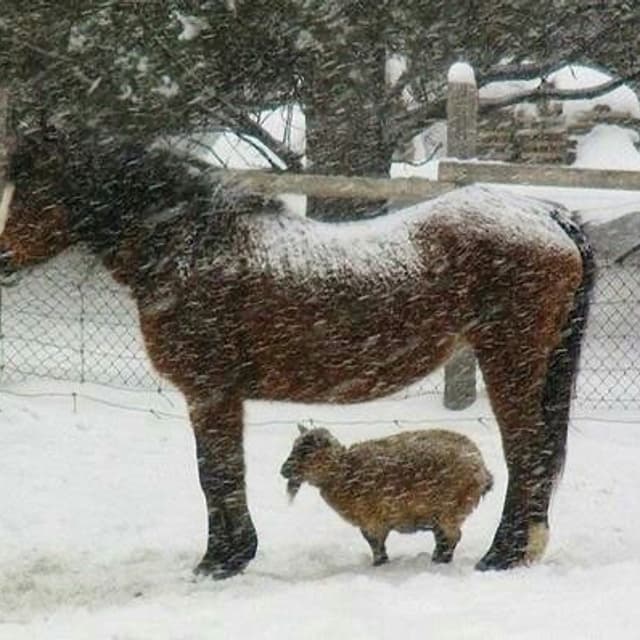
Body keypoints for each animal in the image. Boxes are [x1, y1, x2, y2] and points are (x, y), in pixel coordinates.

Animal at [0, 126, 595, 579]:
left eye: (37, 189)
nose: (2, 260)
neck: (194, 249)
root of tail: (545, 214)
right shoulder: (217, 396)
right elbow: (220, 472)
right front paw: (228, 556)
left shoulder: (211, 392)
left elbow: (216, 474)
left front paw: (222, 562)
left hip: (509, 361)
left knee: (527, 453)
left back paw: (504, 554)